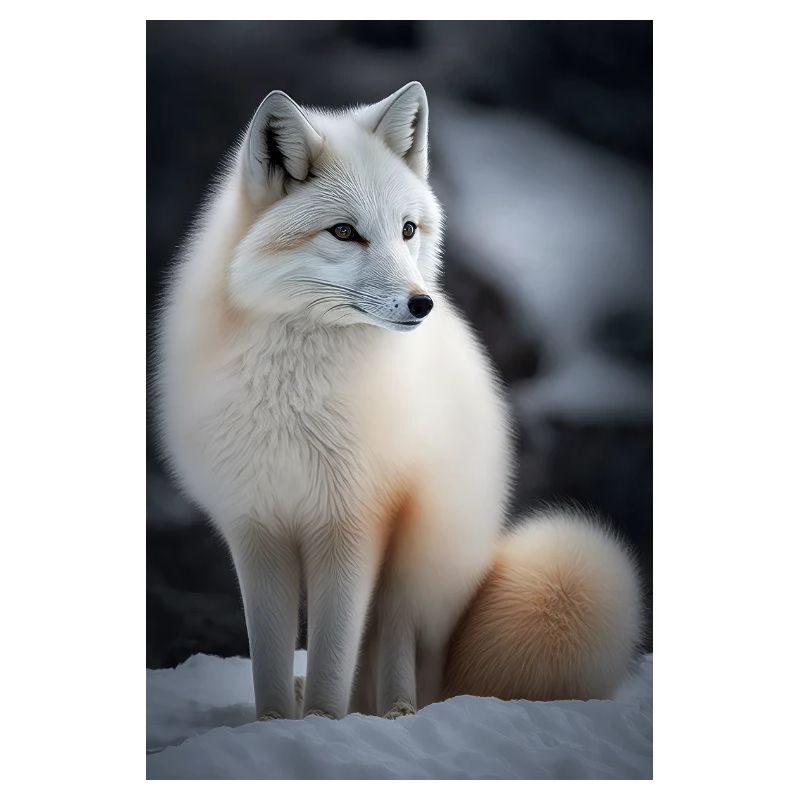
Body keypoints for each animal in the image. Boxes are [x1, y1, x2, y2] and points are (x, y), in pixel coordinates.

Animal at [156, 81, 641, 721]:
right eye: (344, 232)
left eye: (408, 229)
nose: (422, 304)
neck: (292, 397)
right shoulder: (257, 529)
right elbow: (270, 663)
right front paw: (276, 724)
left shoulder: (353, 522)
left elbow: (335, 658)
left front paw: (321, 725)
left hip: (414, 562)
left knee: (398, 644)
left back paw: (396, 712)